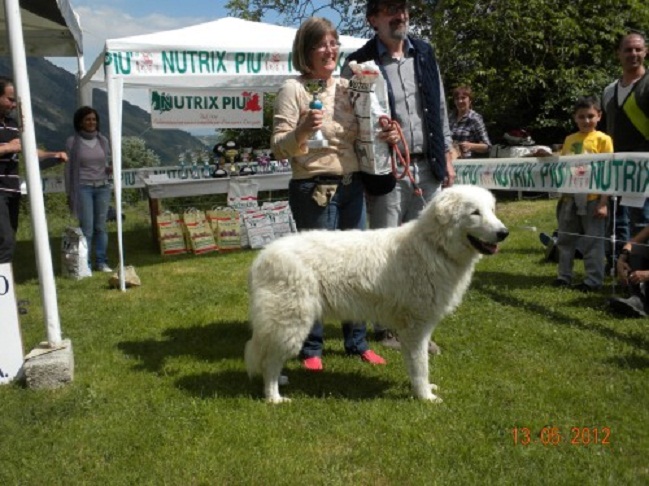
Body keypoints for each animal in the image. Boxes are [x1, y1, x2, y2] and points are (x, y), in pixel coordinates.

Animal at [245, 185, 509, 403]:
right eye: (475, 213)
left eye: (491, 210)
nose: (504, 233)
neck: (433, 246)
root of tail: (262, 257)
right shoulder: (415, 327)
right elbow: (420, 365)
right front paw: (425, 397)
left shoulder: (415, 328)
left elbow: (415, 364)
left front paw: (421, 390)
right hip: (291, 321)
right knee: (270, 361)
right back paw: (274, 397)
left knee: (268, 357)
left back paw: (279, 382)